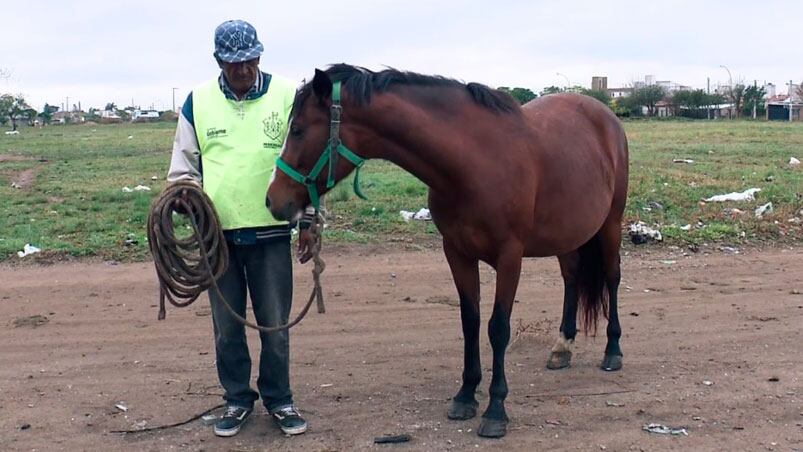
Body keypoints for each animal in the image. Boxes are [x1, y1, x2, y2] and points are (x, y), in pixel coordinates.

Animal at [266, 64, 632, 438]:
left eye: (298, 130)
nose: (273, 200)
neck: (474, 162)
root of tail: (604, 114)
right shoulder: (457, 253)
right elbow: (470, 321)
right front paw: (466, 395)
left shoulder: (510, 257)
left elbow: (498, 328)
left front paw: (495, 409)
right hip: (568, 234)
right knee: (572, 279)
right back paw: (562, 347)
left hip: (611, 224)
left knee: (612, 278)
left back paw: (612, 351)